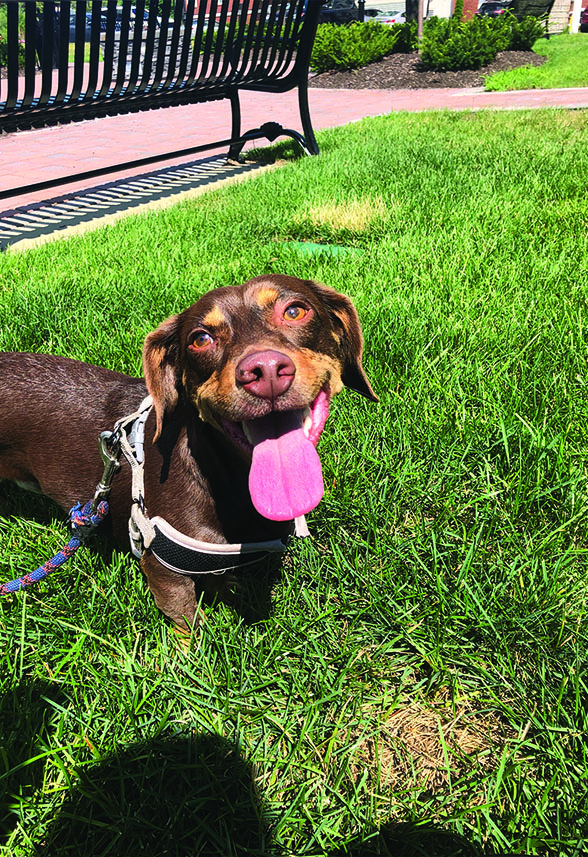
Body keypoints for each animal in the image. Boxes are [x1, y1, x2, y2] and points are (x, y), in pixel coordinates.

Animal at [0, 274, 376, 628]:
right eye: (200, 339)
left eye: (296, 311)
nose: (265, 370)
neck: (230, 480)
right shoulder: (163, 569)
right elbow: (187, 623)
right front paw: (195, 651)